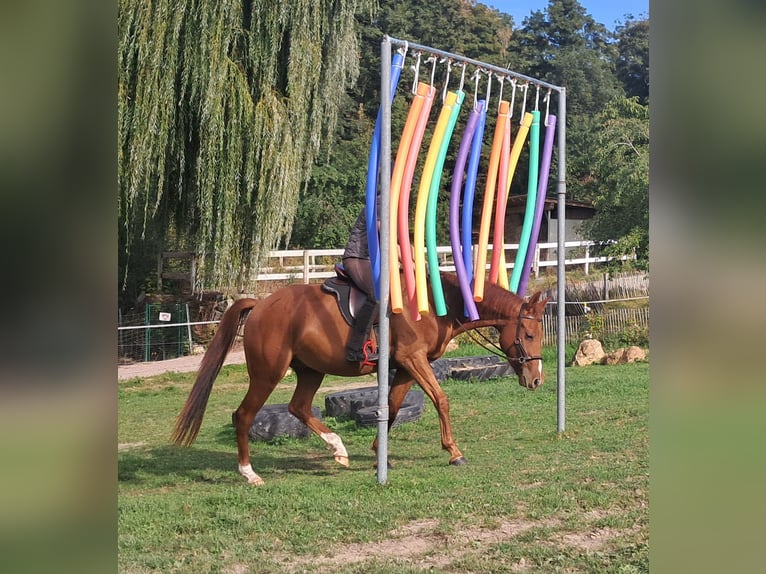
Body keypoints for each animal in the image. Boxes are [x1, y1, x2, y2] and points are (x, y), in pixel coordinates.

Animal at [172, 272, 548, 486]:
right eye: (529, 335)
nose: (536, 381)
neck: (434, 303)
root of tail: (261, 304)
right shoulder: (414, 360)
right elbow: (441, 399)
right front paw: (454, 452)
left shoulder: (406, 367)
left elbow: (392, 409)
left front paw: (380, 453)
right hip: (267, 373)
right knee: (244, 415)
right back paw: (249, 473)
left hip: (311, 370)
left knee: (298, 407)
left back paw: (338, 450)